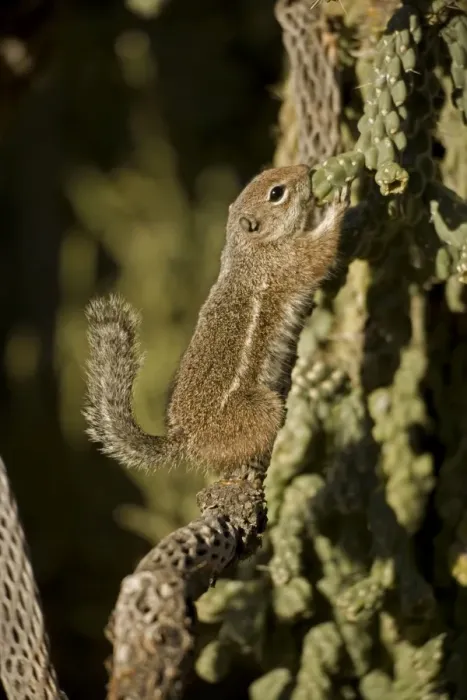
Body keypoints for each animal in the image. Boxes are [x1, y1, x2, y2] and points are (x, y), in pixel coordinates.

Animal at [84, 164, 349, 477]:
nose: (307, 168)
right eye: (276, 193)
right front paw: (339, 206)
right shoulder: (287, 263)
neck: (250, 247)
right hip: (260, 410)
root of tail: (186, 438)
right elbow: (320, 255)